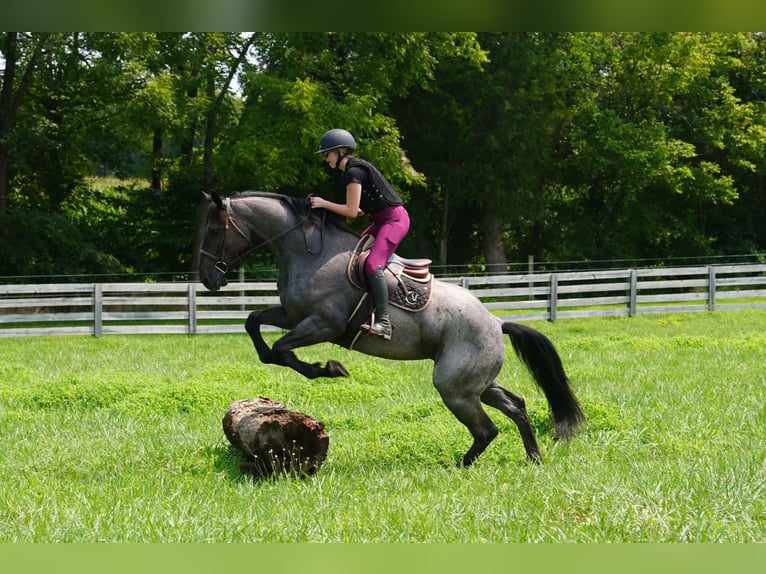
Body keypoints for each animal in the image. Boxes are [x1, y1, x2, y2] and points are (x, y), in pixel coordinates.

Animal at [198, 190, 584, 466]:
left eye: (214, 230)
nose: (207, 280)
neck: (309, 253)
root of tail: (496, 322)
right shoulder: (293, 316)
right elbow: (254, 326)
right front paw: (316, 366)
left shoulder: (323, 324)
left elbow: (281, 349)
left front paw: (328, 369)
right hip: (476, 384)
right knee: (515, 405)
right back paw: (533, 458)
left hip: (455, 387)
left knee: (487, 429)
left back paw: (460, 466)